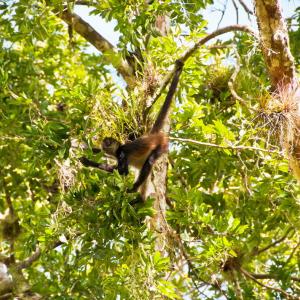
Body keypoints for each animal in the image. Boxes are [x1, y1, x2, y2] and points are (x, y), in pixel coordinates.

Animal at [80, 59, 183, 193]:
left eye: (109, 141)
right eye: (105, 142)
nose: (105, 144)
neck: (118, 150)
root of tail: (154, 136)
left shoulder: (122, 153)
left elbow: (123, 172)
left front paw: (88, 162)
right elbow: (99, 152)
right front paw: (81, 146)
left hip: (162, 146)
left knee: (150, 161)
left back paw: (134, 189)